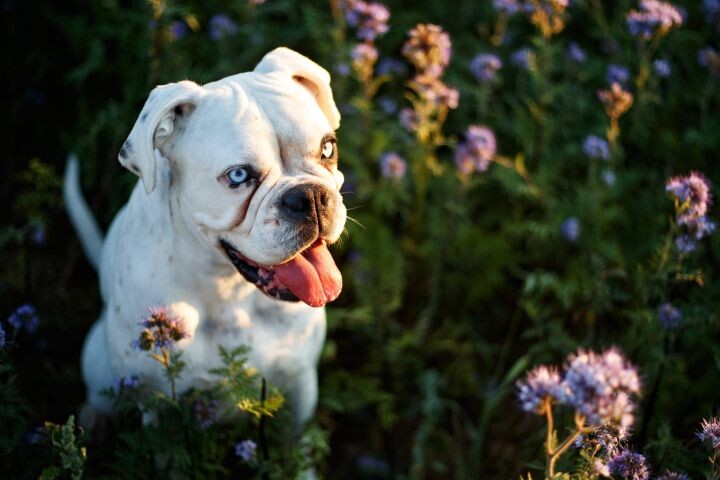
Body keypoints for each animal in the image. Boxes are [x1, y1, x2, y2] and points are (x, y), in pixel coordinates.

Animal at [66, 46, 348, 428]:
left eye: (328, 149)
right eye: (239, 175)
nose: (311, 197)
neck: (227, 293)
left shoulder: (299, 384)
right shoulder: (158, 405)